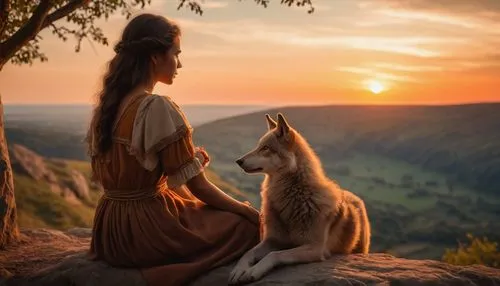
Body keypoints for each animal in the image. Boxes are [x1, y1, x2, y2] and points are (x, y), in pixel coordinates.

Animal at [229, 113, 370, 284]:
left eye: (265, 148)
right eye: (259, 146)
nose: (238, 161)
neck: (297, 194)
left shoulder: (315, 249)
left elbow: (275, 254)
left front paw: (254, 270)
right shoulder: (273, 240)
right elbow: (248, 253)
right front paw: (239, 269)